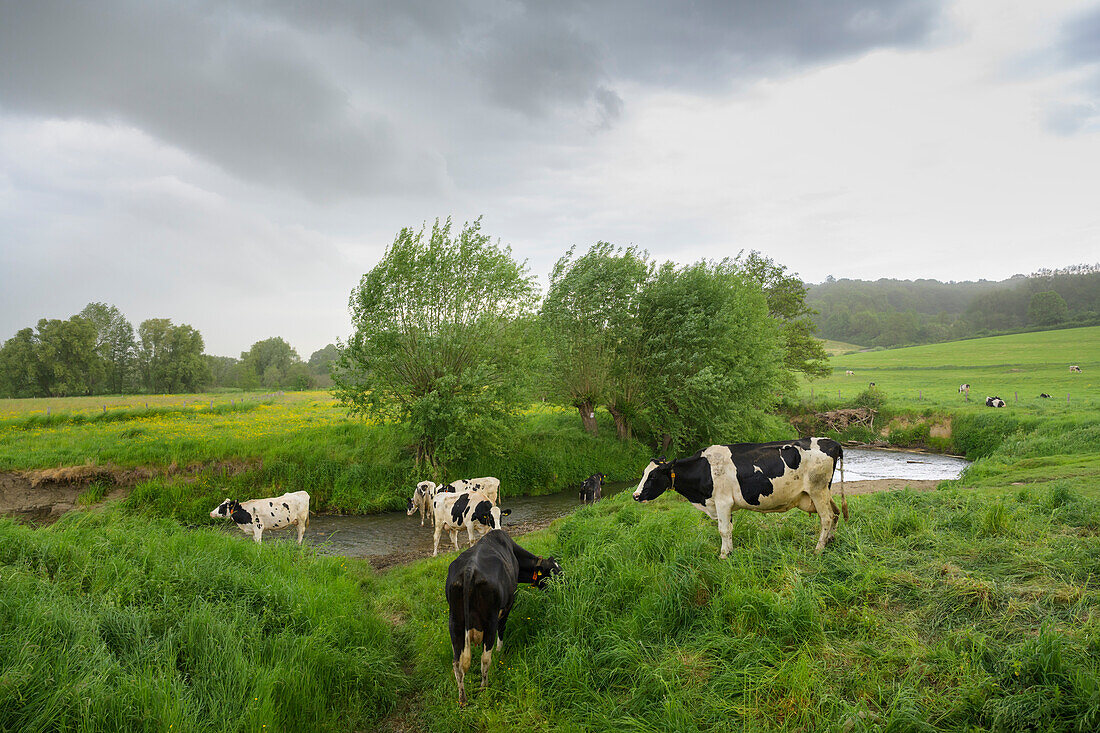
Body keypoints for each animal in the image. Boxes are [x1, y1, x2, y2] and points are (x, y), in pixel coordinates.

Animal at [444, 528, 563, 704]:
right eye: (554, 574)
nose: (567, 587)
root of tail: (469, 570)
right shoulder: (508, 605)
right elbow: (502, 628)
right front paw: (500, 651)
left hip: (455, 623)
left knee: (457, 664)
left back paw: (463, 699)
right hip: (489, 621)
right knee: (485, 659)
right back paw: (484, 688)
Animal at [633, 433, 844, 554]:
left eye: (652, 476)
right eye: (643, 473)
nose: (635, 495)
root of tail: (833, 442)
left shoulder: (722, 502)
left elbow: (723, 530)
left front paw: (723, 555)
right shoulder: (724, 505)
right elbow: (729, 529)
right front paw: (729, 551)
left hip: (817, 490)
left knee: (827, 518)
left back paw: (818, 549)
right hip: (822, 492)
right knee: (836, 513)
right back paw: (830, 540)